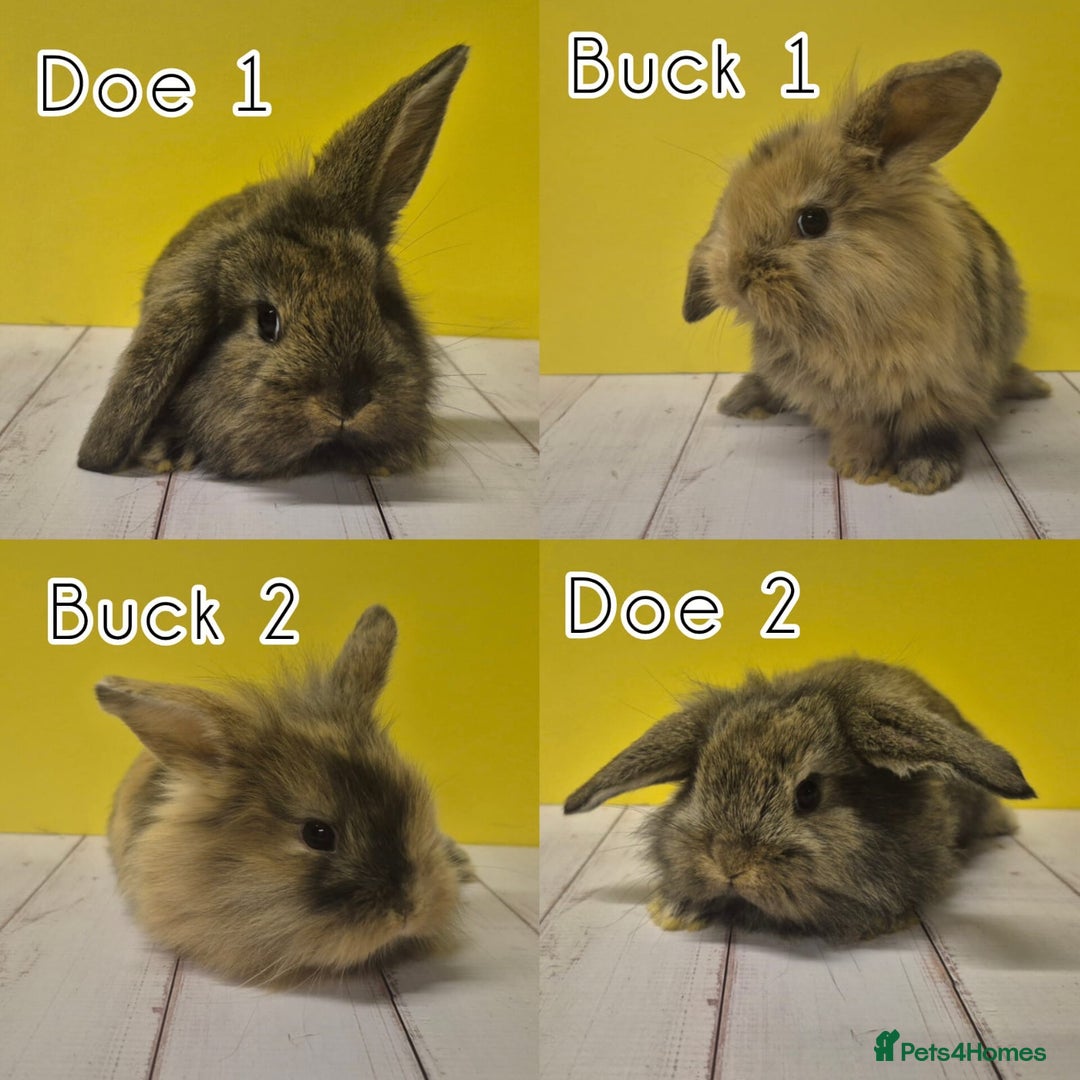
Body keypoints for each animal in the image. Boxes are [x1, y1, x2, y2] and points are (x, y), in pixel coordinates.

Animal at [682, 51, 1050, 495]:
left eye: (813, 220)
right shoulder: (842, 401)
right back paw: (739, 400)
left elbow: (929, 431)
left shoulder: (945, 387)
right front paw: (857, 467)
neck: (852, 325)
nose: (734, 278)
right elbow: (859, 432)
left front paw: (924, 475)